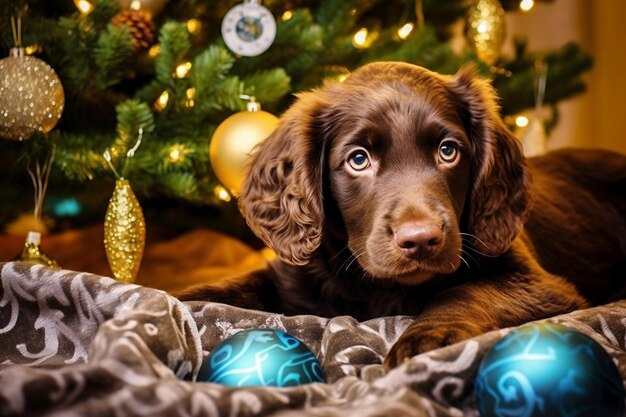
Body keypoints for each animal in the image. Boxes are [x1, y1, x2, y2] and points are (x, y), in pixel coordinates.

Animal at [176, 61, 624, 368]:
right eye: (358, 159)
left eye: (448, 151)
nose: (422, 240)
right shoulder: (293, 279)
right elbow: (222, 290)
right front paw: (171, 299)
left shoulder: (541, 284)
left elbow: (464, 290)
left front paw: (429, 337)